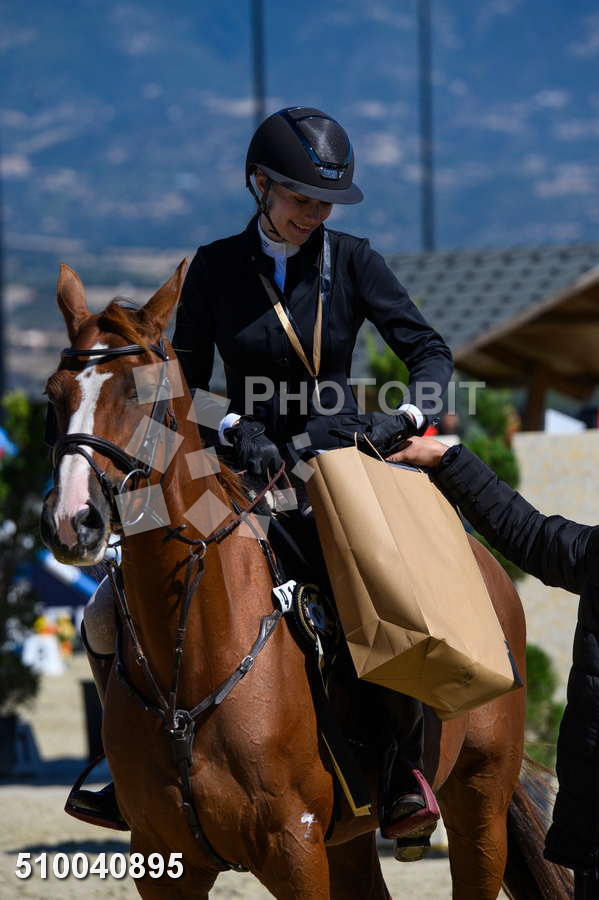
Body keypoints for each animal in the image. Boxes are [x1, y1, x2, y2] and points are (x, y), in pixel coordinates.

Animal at [40, 262, 572, 899]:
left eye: (142, 396)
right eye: (54, 395)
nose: (74, 520)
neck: (191, 660)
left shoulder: (294, 848)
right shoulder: (164, 860)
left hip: (479, 801)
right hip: (350, 839)